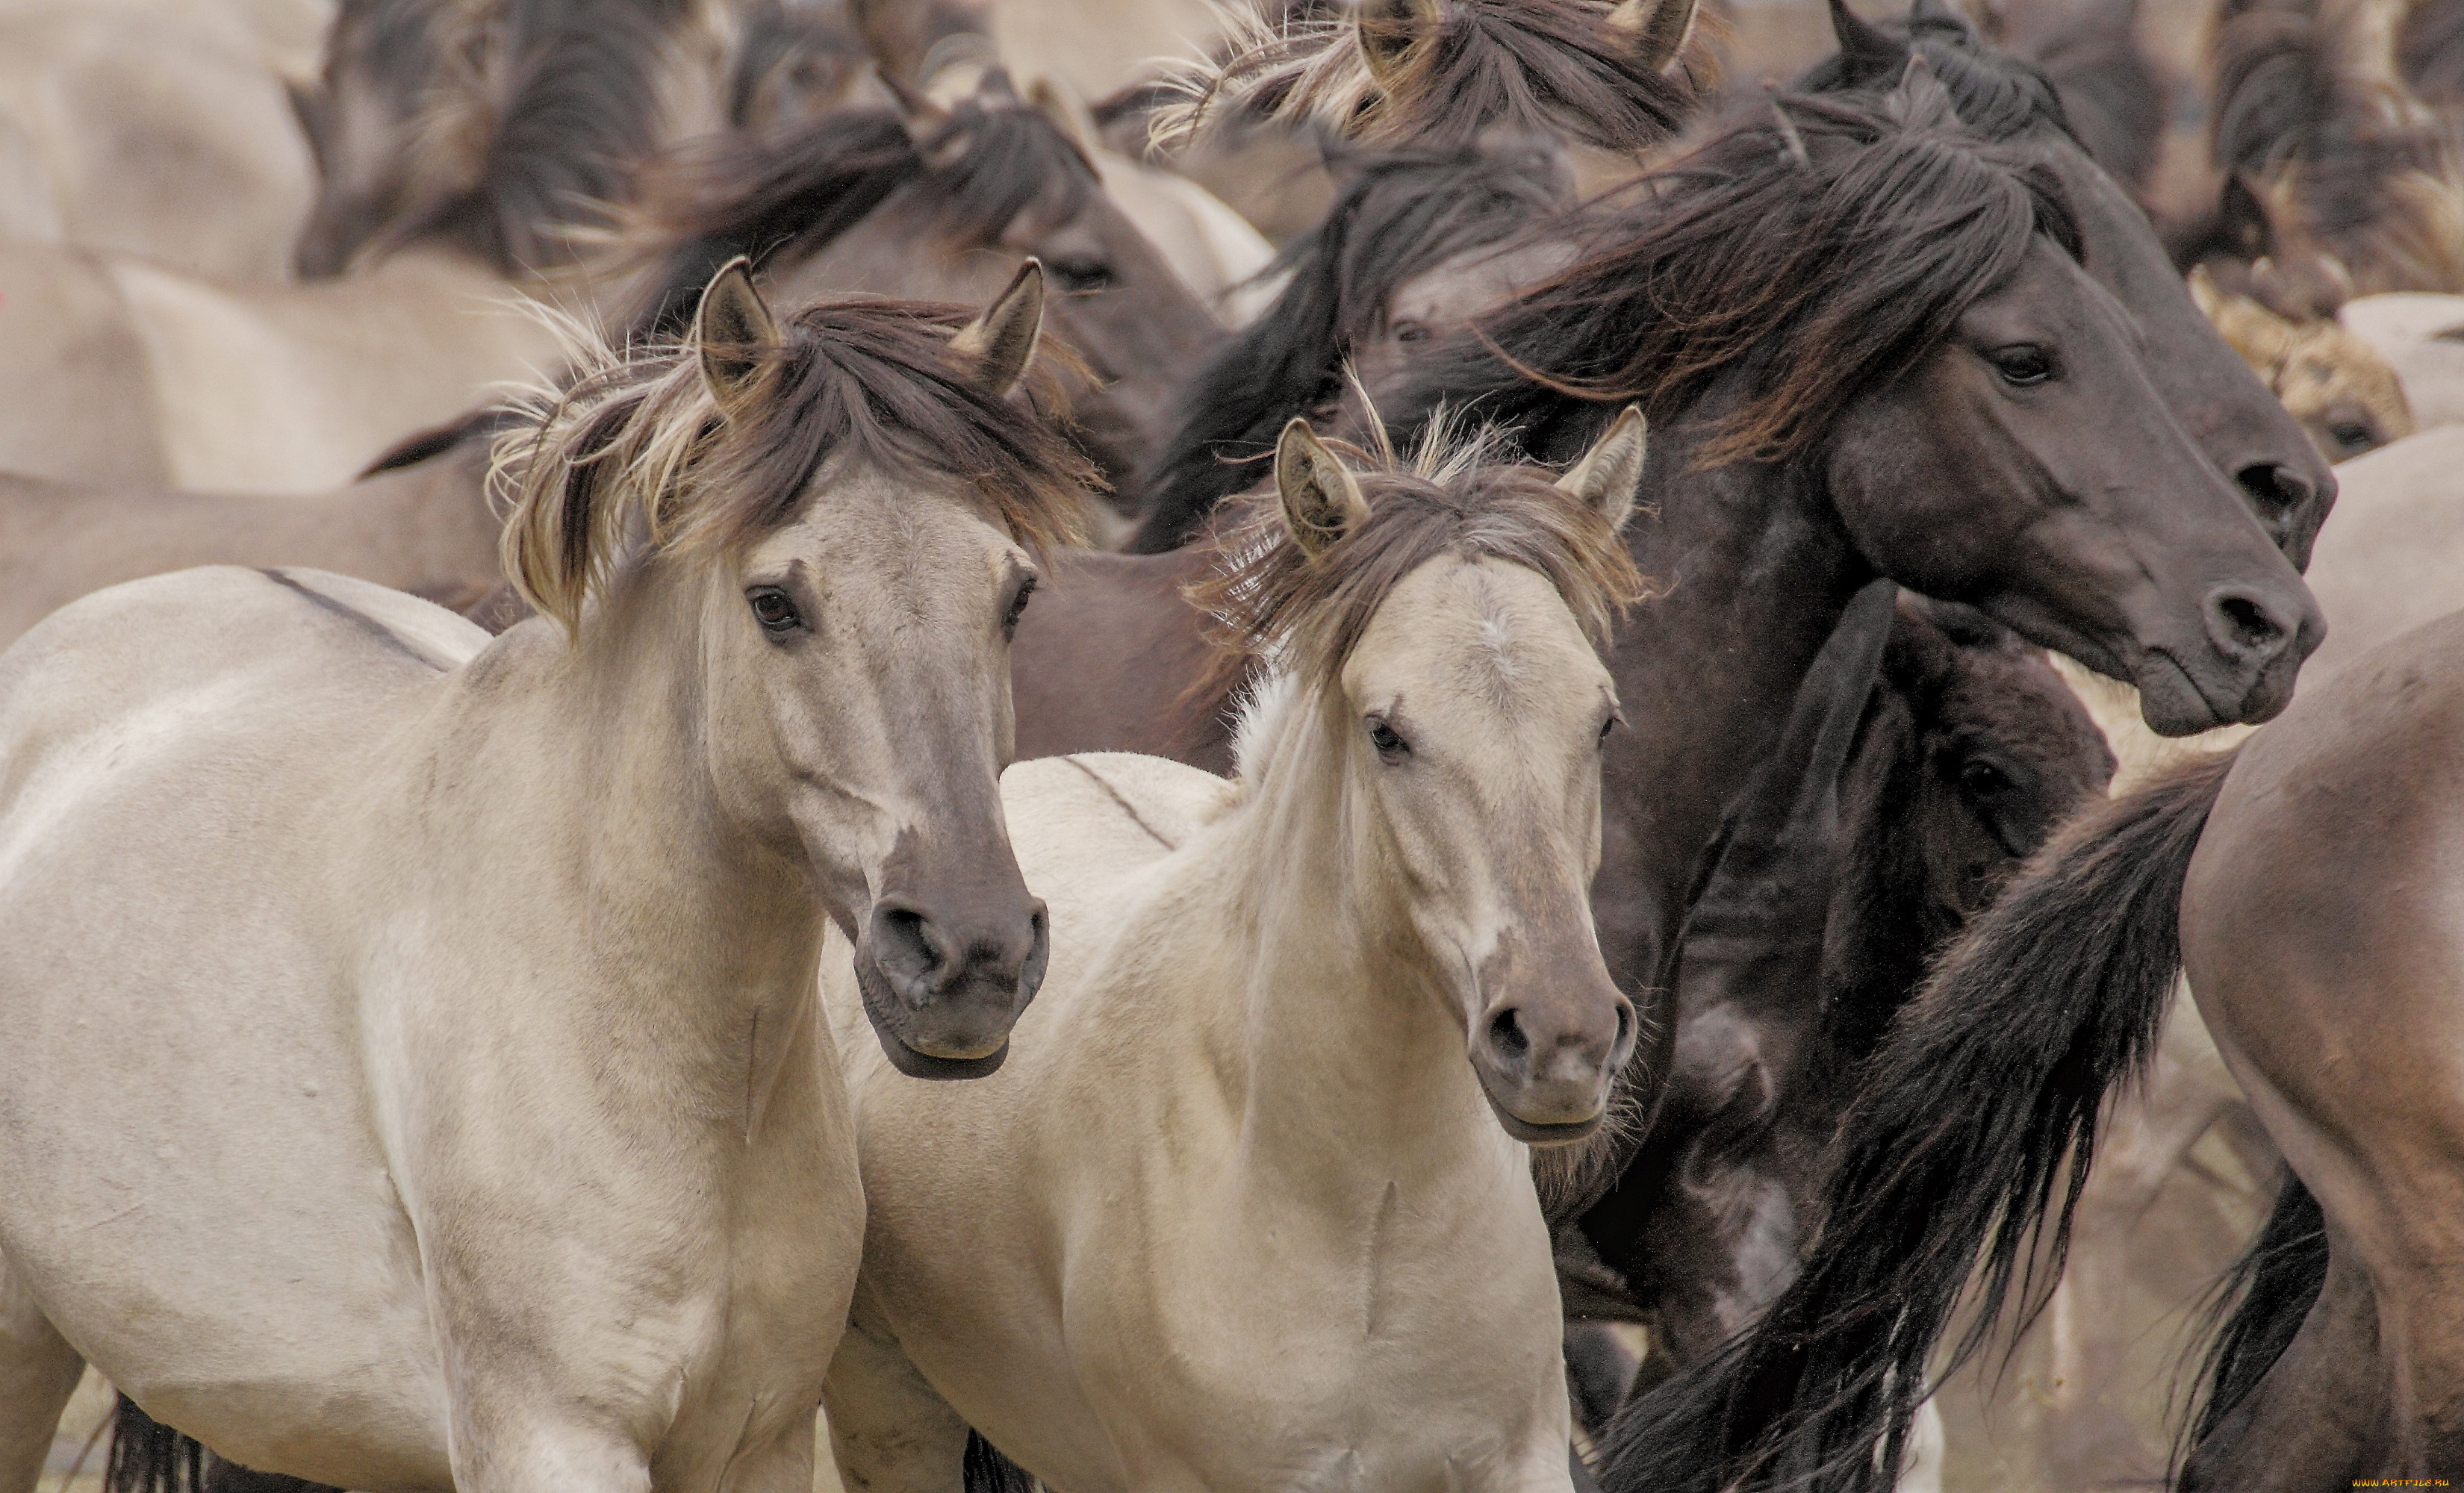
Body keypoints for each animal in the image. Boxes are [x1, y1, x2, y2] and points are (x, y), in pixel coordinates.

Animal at [827, 416, 1655, 1493]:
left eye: (1602, 721)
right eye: (1387, 733)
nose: (1563, 1039)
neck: (1366, 1210)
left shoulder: (1517, 1462)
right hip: (887, 1408)